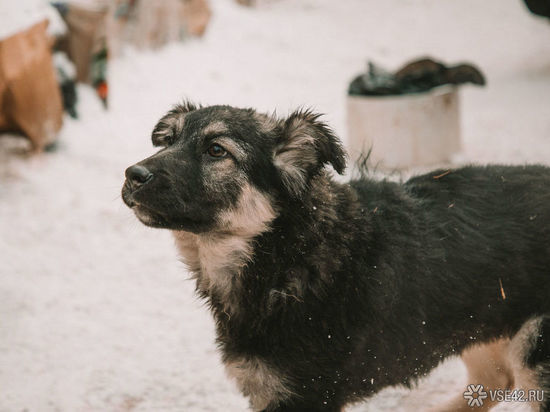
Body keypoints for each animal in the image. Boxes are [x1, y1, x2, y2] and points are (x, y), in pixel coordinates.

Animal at [123, 101, 550, 410]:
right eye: (168, 141)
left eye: (216, 150)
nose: (132, 175)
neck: (288, 253)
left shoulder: (307, 395)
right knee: (494, 381)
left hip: (533, 353)